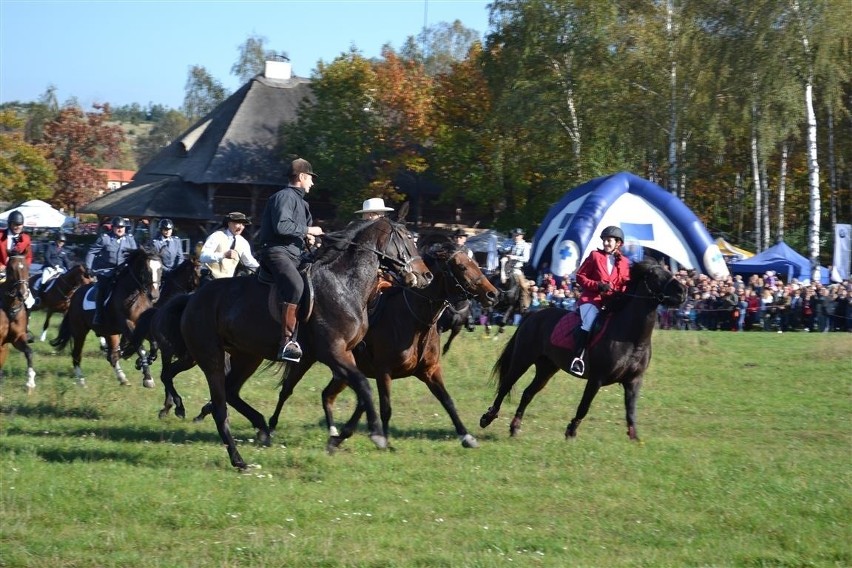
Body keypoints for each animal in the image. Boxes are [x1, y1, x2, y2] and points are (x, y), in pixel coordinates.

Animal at [0, 256, 35, 392]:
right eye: (10, 268)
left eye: (27, 267)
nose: (23, 294)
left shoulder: (17, 339)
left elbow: (29, 352)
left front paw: (30, 383)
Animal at [50, 246, 163, 388]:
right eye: (146, 270)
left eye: (160, 269)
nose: (154, 296)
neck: (135, 296)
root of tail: (75, 294)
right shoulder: (127, 325)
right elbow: (141, 349)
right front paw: (148, 378)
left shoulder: (141, 327)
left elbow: (154, 345)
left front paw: (144, 361)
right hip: (79, 331)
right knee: (77, 354)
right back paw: (81, 381)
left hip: (110, 333)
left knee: (112, 356)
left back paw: (122, 378)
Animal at [270, 242, 502, 450]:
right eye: (462, 267)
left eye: (475, 264)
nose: (493, 294)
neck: (415, 320)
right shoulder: (384, 372)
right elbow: (385, 408)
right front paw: (386, 441)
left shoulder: (430, 371)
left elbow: (448, 401)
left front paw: (466, 436)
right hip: (307, 359)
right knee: (287, 390)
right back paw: (271, 428)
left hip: (341, 371)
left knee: (328, 395)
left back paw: (334, 434)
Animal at [480, 260, 684, 442]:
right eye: (655, 276)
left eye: (668, 271)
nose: (683, 291)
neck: (632, 338)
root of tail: (533, 315)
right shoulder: (597, 379)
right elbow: (584, 406)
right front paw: (570, 432)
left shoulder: (633, 381)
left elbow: (631, 411)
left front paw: (635, 439)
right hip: (523, 359)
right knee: (506, 385)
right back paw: (487, 418)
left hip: (547, 368)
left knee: (528, 393)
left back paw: (515, 427)